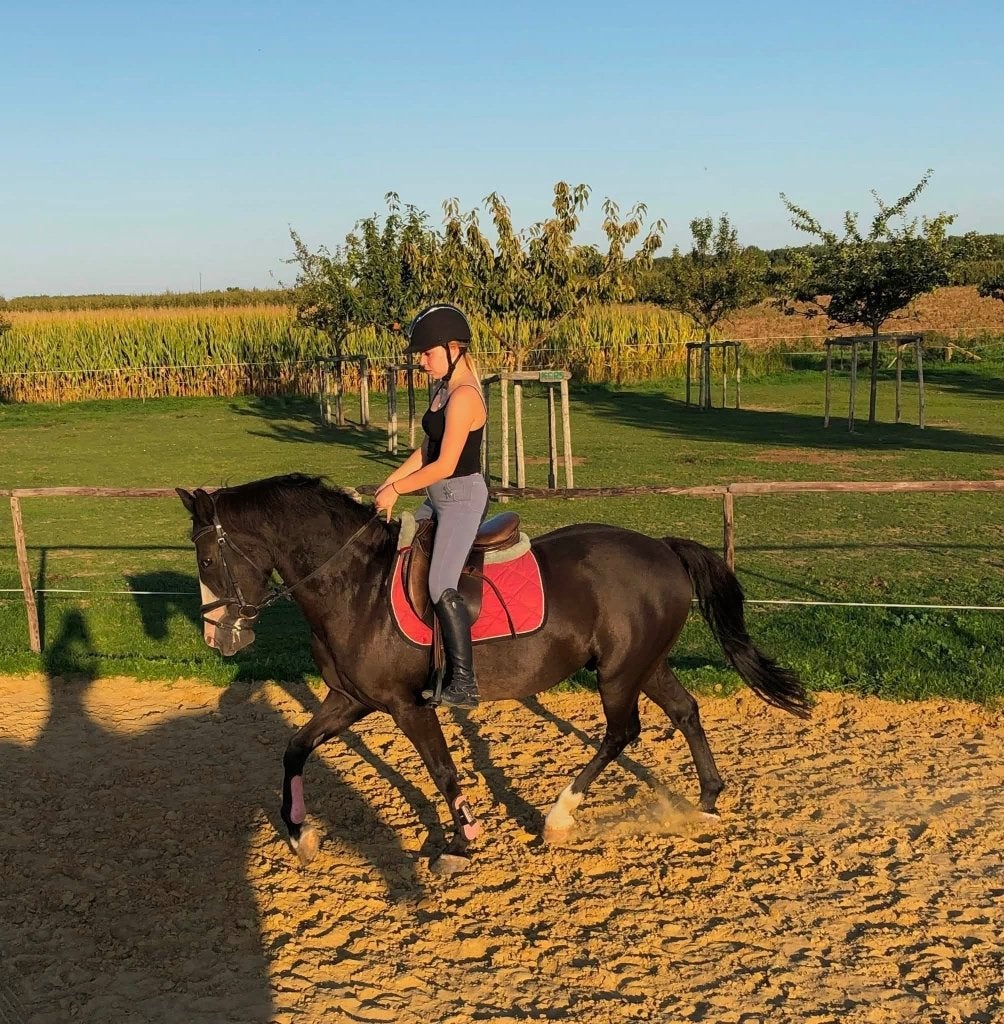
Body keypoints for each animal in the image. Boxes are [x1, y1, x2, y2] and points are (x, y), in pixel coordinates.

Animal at [177, 473, 810, 875]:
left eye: (207, 560)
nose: (219, 638)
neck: (356, 586)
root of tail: (661, 546)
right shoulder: (349, 698)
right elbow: (293, 748)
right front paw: (299, 833)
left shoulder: (408, 705)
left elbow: (442, 771)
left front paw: (462, 844)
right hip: (644, 664)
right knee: (685, 712)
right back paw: (705, 802)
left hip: (617, 673)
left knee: (623, 732)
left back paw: (559, 817)